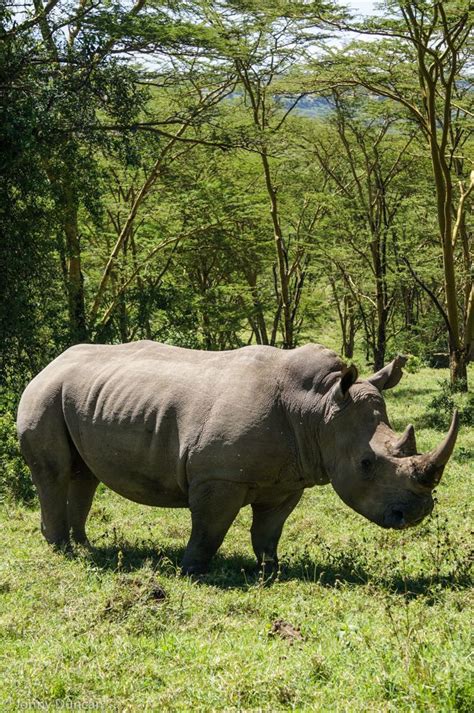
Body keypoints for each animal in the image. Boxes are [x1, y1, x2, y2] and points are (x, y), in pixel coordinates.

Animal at [16, 340, 458, 572]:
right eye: (366, 464)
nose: (416, 514)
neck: (318, 411)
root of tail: (50, 362)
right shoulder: (218, 476)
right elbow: (209, 529)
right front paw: (192, 571)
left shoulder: (289, 479)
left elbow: (269, 530)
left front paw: (271, 570)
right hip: (44, 394)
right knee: (54, 473)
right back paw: (62, 551)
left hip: (77, 394)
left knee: (84, 474)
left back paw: (85, 547)